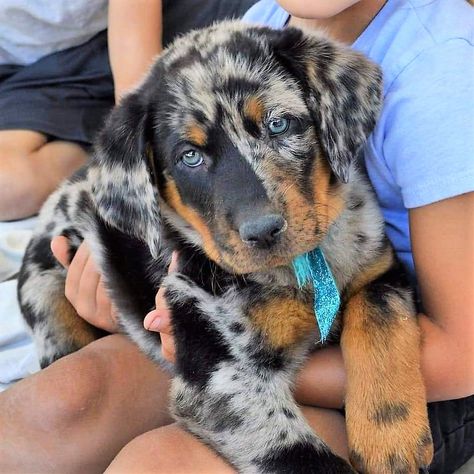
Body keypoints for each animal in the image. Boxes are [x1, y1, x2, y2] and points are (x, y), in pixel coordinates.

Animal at [18, 21, 434, 470]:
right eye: (189, 157)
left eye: (278, 124)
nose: (263, 231)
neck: (298, 269)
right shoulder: (222, 377)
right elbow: (306, 459)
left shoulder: (378, 268)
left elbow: (381, 323)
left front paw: (390, 437)